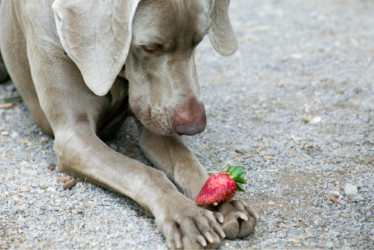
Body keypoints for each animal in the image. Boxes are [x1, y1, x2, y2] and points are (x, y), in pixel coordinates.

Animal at [0, 0, 258, 248]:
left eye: (198, 41)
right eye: (151, 47)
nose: (194, 126)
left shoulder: (156, 123)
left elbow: (187, 162)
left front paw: (225, 204)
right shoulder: (74, 137)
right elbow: (144, 172)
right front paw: (185, 214)